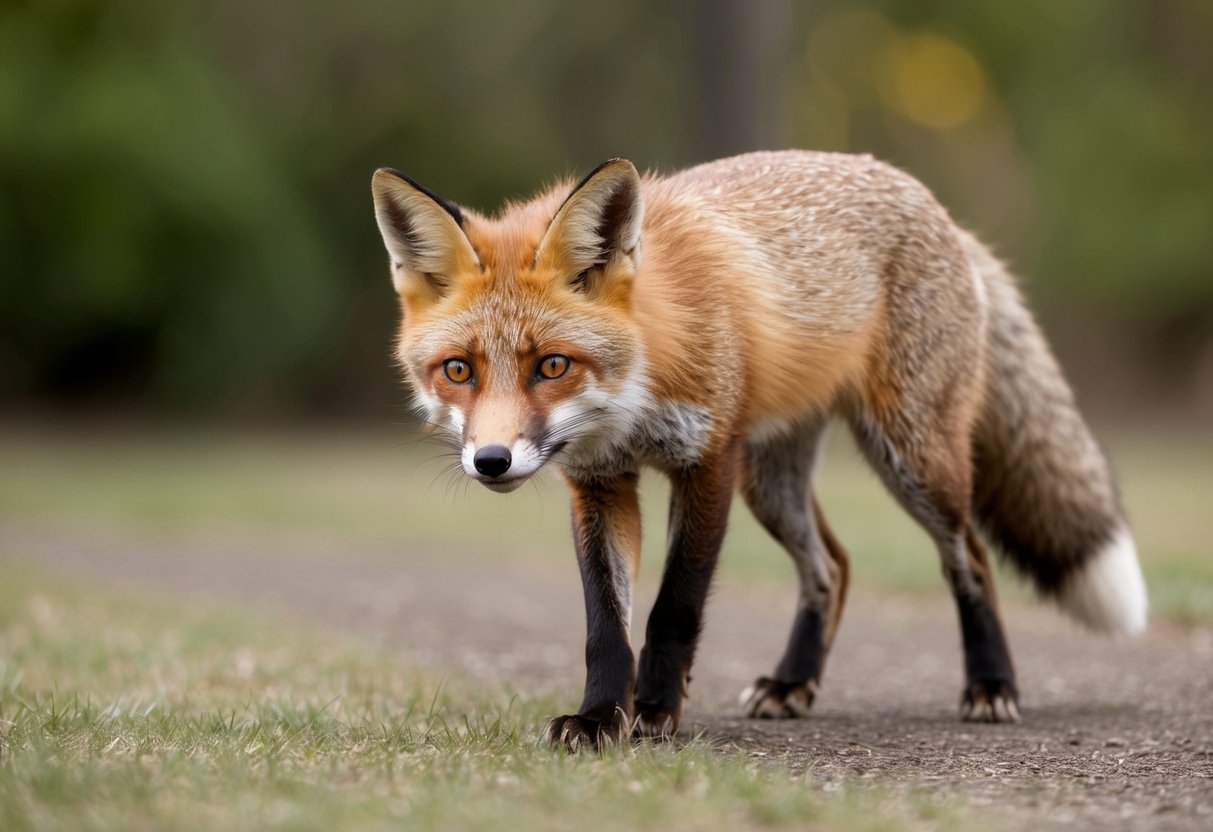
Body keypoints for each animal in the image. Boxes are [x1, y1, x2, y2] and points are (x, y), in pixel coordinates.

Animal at [370, 150, 1148, 752]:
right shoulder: (599, 484)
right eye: (458, 370)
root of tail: (937, 208)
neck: (639, 389)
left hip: (911, 457)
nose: (491, 461)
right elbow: (605, 625)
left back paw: (990, 683)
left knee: (971, 556)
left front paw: (656, 710)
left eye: (551, 366)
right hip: (772, 482)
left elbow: (674, 607)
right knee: (832, 565)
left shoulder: (707, 462)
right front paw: (598, 718)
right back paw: (795, 682)